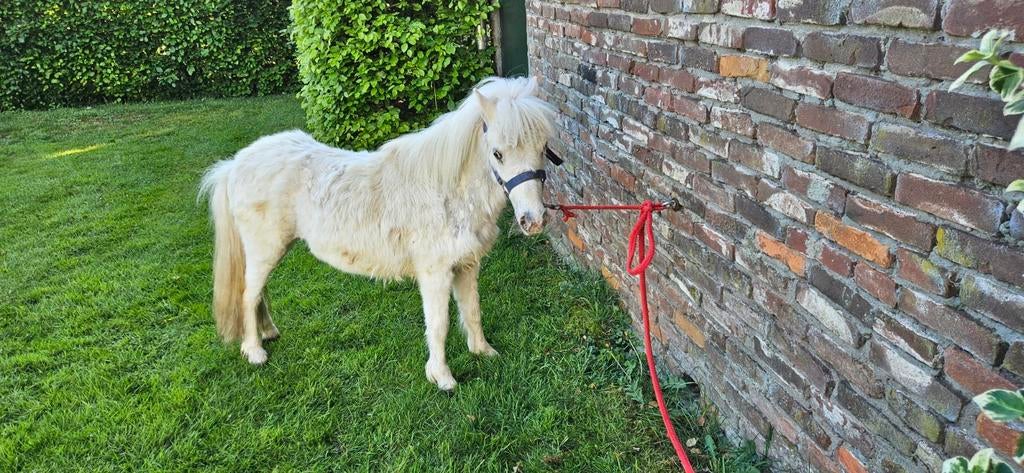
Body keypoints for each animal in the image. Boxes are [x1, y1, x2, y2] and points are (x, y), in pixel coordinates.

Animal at [198, 76, 555, 390]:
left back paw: (268, 333)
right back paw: (255, 351)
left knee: (257, 293)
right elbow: (438, 324)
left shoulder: (467, 265)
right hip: (265, 250)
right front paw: (442, 377)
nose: (533, 220)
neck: (446, 190)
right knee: (248, 295)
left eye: (543, 147)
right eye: (497, 153)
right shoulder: (435, 273)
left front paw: (483, 351)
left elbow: (472, 310)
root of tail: (235, 164)